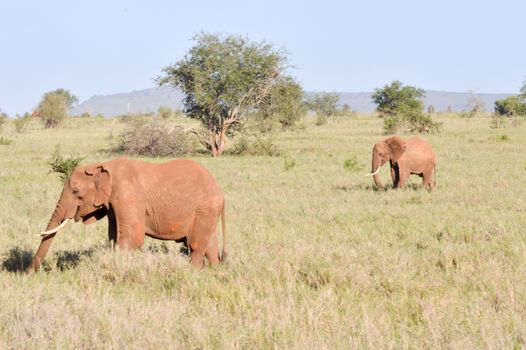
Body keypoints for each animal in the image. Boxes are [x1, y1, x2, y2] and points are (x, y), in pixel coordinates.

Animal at [25, 157, 227, 274]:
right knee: (210, 244)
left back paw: (192, 274)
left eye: (75, 192)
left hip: (205, 208)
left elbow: (132, 239)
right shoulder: (112, 204)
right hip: (207, 211)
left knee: (196, 244)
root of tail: (219, 189)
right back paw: (215, 272)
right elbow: (114, 238)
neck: (101, 166)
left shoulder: (127, 196)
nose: (28, 273)